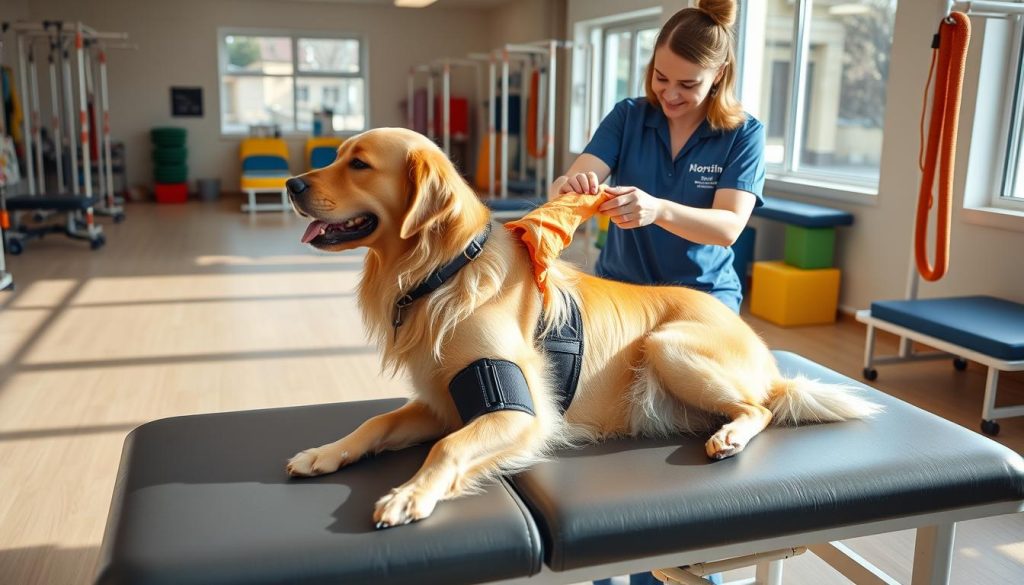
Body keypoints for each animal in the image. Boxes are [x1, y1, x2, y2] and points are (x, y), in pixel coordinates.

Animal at [286, 129, 880, 532]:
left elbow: (448, 449)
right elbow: (377, 422)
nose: (291, 183)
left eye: (359, 164)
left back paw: (731, 435)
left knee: (761, 408)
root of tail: (769, 362)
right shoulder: (441, 401)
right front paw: (325, 453)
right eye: (338, 155)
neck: (446, 273)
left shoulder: (517, 413)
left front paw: (409, 495)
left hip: (668, 344)